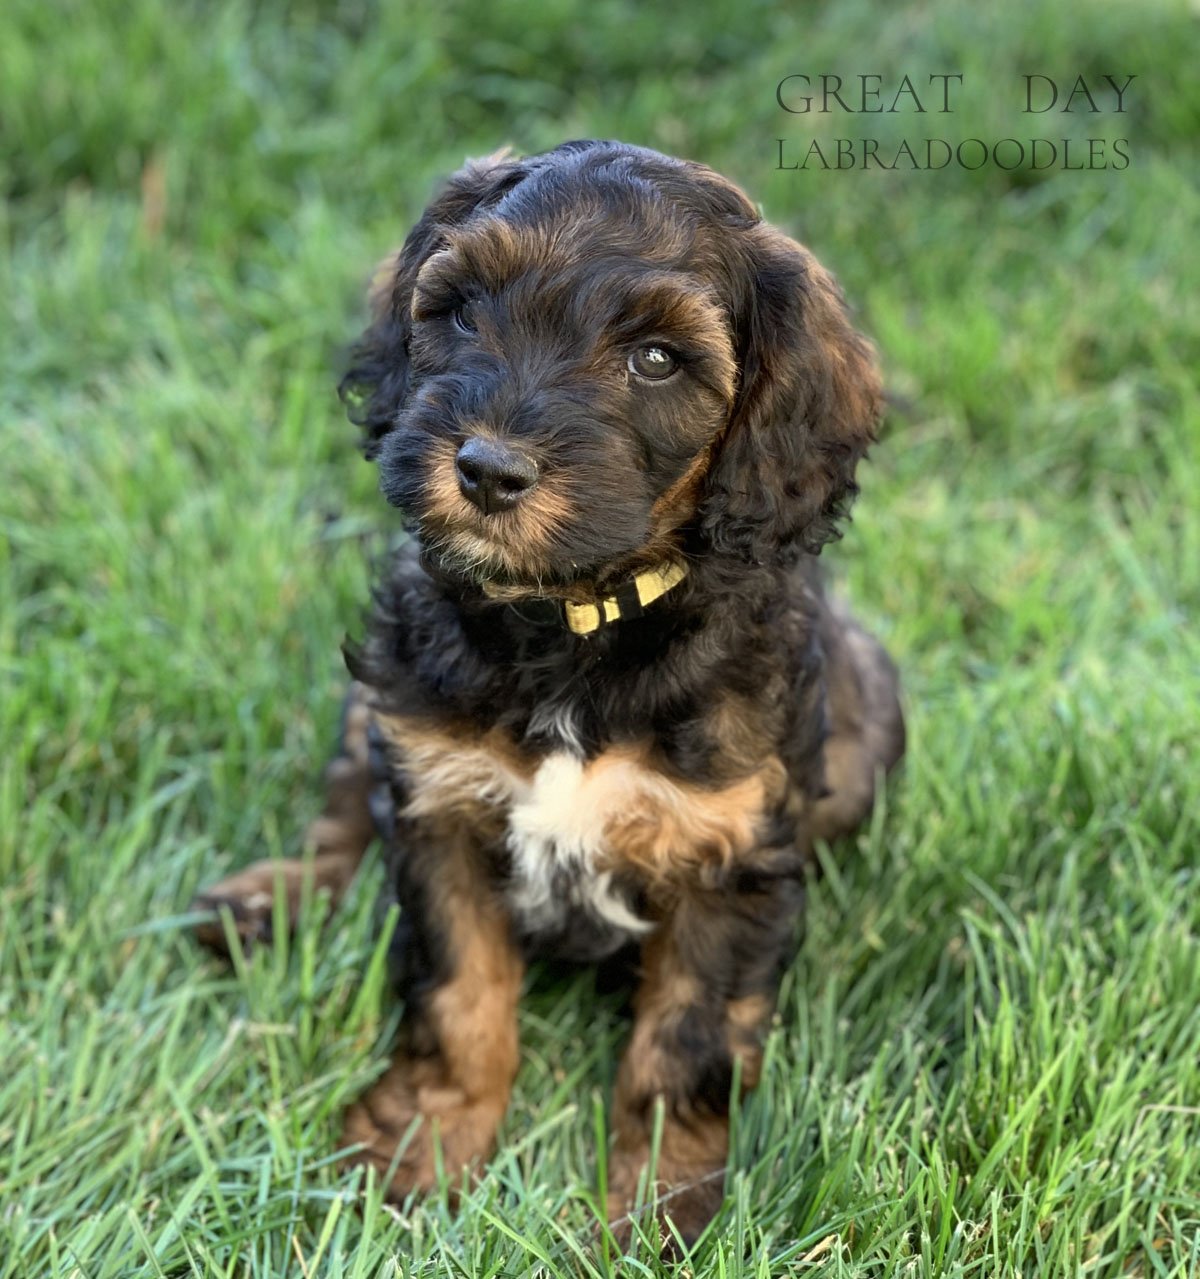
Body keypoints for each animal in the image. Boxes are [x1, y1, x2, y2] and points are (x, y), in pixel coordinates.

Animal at [194, 142, 900, 1248]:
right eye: (464, 308)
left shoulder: (731, 855)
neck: (574, 621)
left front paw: (660, 1204)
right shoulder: (439, 805)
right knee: (350, 802)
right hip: (384, 698)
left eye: (656, 360)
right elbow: (458, 993)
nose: (488, 470)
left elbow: (686, 1041)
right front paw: (423, 1143)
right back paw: (266, 901)